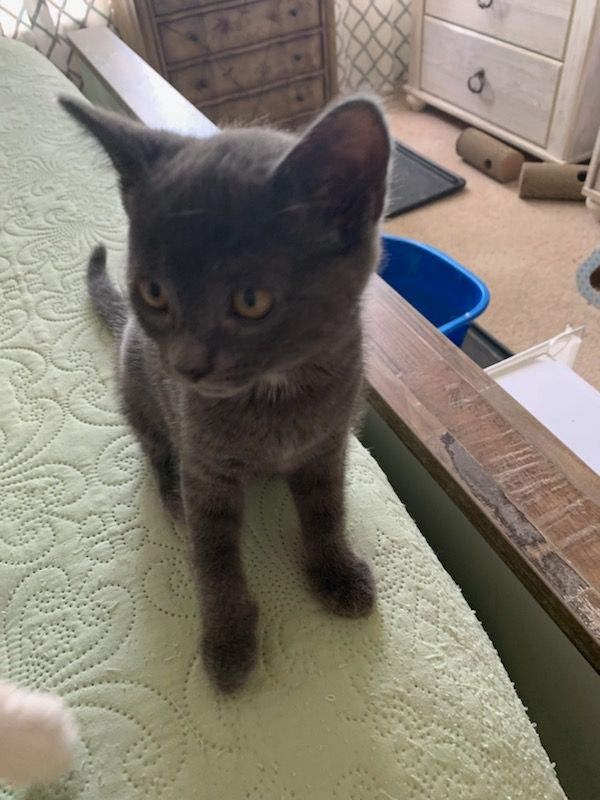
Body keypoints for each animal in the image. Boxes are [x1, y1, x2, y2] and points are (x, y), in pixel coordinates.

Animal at [59, 94, 390, 692]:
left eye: (251, 301)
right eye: (154, 293)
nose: (187, 364)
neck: (277, 395)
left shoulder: (328, 445)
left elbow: (327, 510)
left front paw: (335, 570)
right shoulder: (206, 467)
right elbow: (213, 560)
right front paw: (229, 639)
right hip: (136, 380)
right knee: (155, 446)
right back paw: (170, 493)